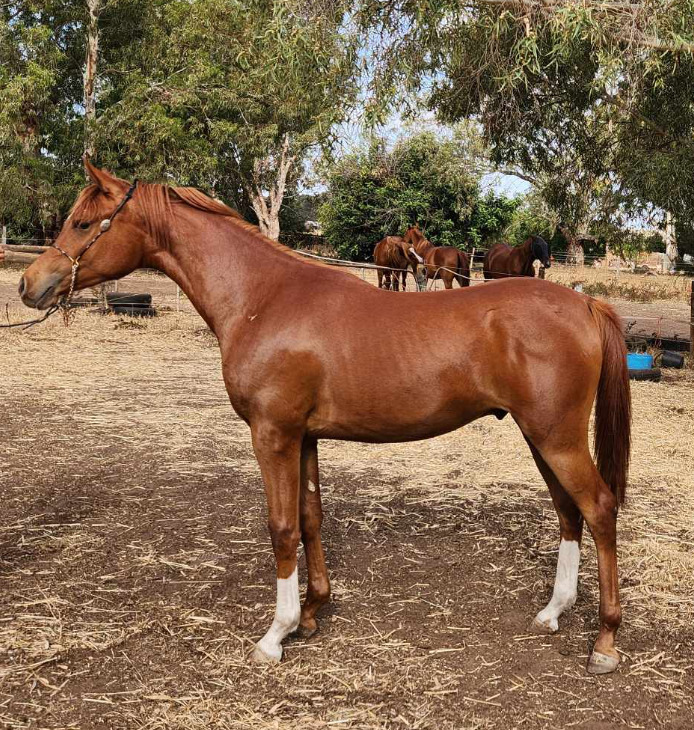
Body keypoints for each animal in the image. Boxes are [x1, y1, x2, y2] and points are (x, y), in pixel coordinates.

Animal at [19, 160, 631, 674]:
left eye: (82, 222)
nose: (30, 284)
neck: (263, 298)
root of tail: (584, 303)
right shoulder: (305, 437)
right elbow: (311, 518)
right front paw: (313, 613)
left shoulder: (272, 435)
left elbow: (282, 527)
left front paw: (276, 633)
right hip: (540, 437)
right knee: (569, 514)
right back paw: (553, 612)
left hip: (556, 438)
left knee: (599, 509)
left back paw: (604, 640)